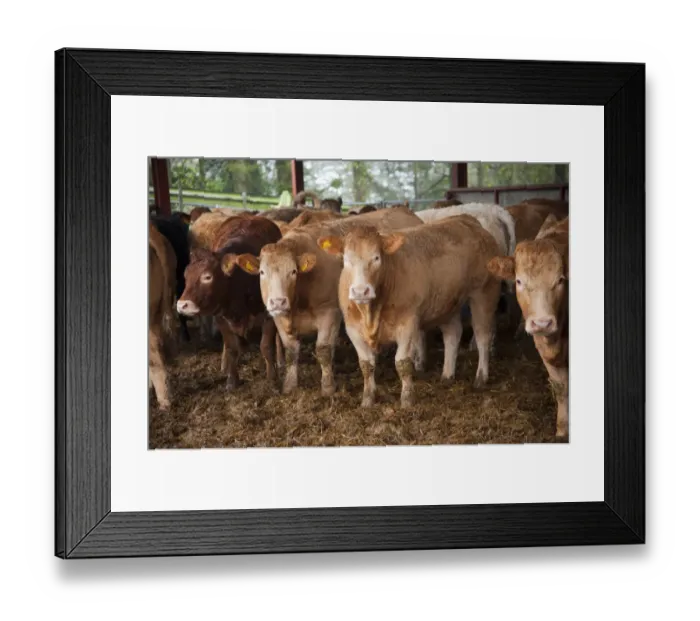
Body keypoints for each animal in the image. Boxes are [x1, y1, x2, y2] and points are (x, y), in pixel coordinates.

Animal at [176, 217, 284, 389]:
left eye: (207, 277)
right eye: (186, 276)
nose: (182, 305)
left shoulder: (269, 312)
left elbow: (266, 346)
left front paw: (272, 379)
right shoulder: (221, 316)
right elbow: (232, 348)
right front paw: (232, 379)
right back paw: (225, 364)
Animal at [235, 206, 423, 396]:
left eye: (293, 271)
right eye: (262, 272)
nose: (278, 302)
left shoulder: (329, 313)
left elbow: (323, 350)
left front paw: (327, 387)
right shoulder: (279, 318)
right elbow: (291, 352)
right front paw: (289, 385)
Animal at [318, 214, 502, 408]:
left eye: (376, 258)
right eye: (346, 260)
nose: (361, 291)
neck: (372, 312)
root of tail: (466, 220)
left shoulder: (407, 323)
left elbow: (403, 363)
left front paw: (407, 400)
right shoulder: (352, 328)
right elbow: (366, 365)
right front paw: (367, 399)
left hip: (485, 292)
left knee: (483, 336)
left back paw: (481, 377)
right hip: (448, 302)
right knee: (453, 334)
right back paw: (447, 375)